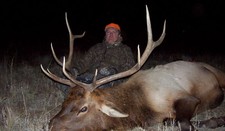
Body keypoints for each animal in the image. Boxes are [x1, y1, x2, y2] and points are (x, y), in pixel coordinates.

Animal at [41, 5, 225, 131]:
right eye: (64, 103)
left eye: (83, 108)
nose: (50, 125)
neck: (142, 107)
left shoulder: (188, 98)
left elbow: (179, 122)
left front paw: (214, 121)